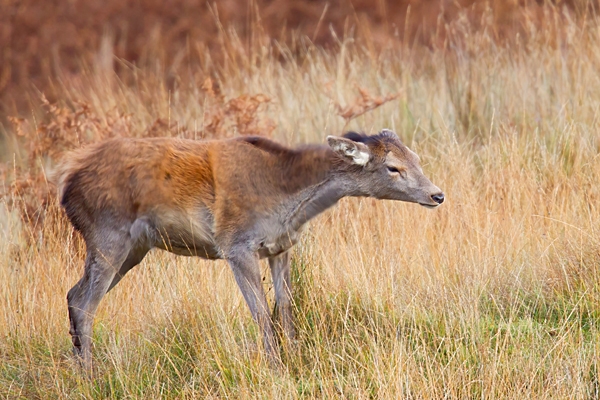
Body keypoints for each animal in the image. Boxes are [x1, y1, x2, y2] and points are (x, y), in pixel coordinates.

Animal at [52, 130, 446, 368]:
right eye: (393, 167)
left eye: (416, 159)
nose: (437, 194)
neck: (285, 200)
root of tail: (65, 184)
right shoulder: (235, 245)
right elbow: (260, 314)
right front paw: (275, 367)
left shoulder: (281, 247)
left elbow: (285, 307)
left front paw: (295, 356)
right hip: (108, 234)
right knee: (86, 303)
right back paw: (91, 375)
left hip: (133, 248)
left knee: (73, 292)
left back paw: (78, 365)